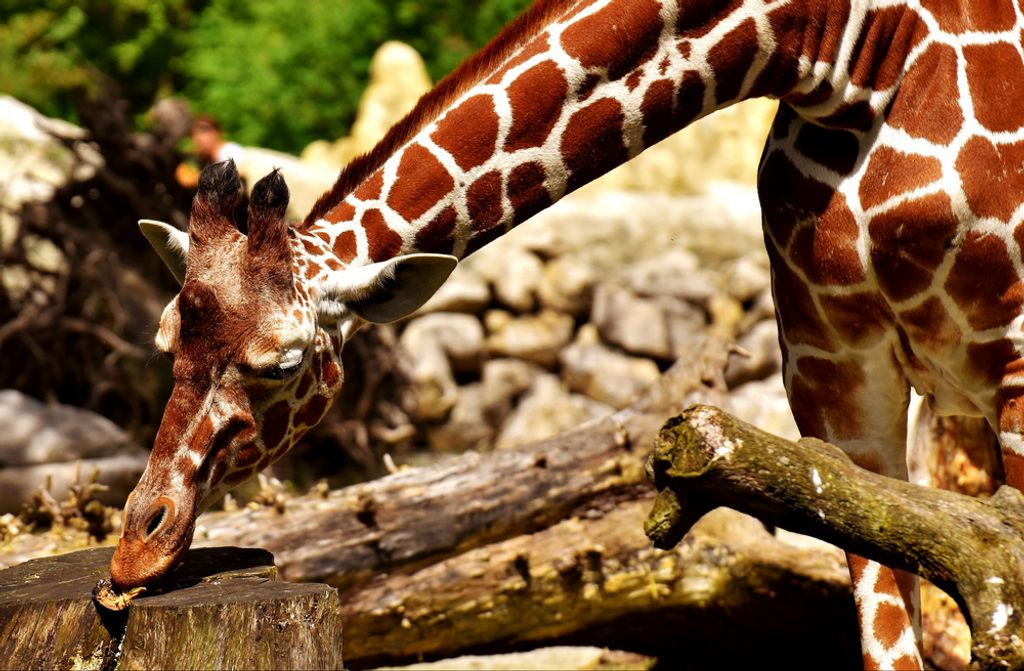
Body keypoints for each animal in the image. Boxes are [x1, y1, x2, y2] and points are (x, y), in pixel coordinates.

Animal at [111, 0, 1024, 667]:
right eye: (165, 337)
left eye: (284, 363)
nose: (132, 553)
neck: (848, 52)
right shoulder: (833, 375)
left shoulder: (1012, 358)